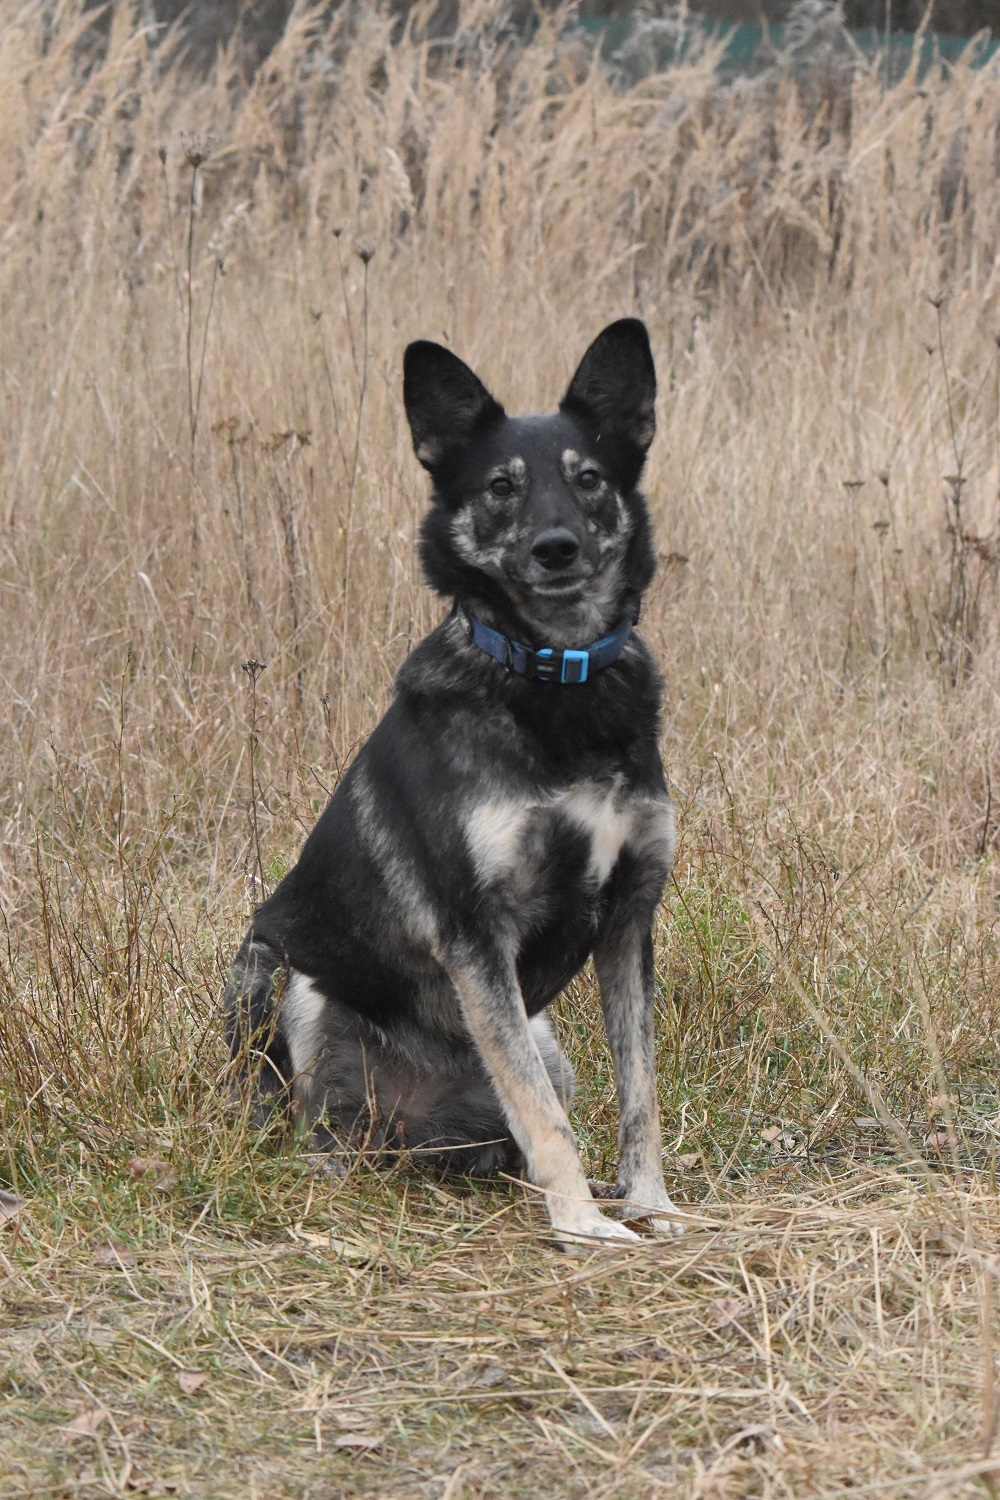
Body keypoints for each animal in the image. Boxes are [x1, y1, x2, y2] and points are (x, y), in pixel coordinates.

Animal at [223, 322, 683, 1248]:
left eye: (589, 478)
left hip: (542, 1035)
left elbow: (638, 1092)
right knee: (310, 1120)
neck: (557, 676)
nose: (555, 548)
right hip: (280, 974)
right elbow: (545, 1119)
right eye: (501, 487)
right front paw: (582, 1226)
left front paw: (649, 1202)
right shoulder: (476, 933)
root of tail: (416, 1136)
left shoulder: (629, 918)